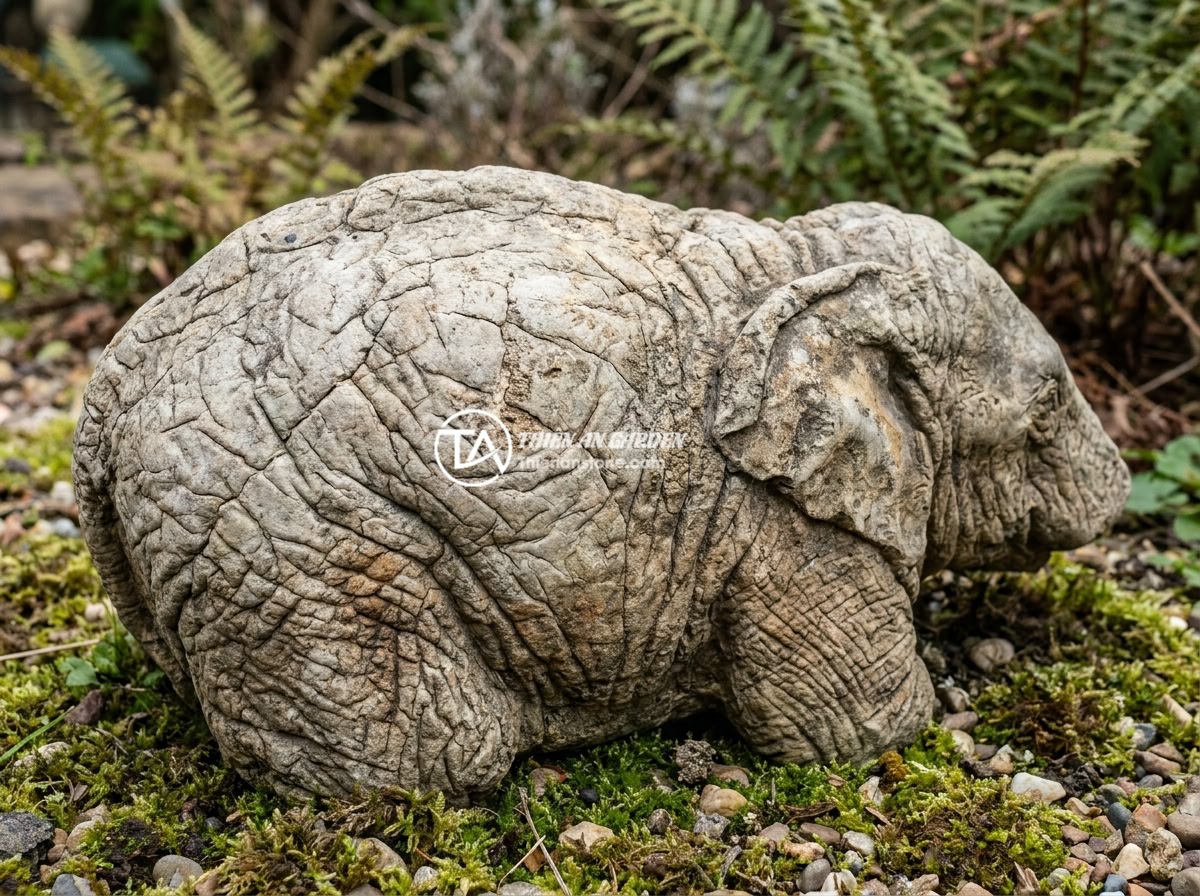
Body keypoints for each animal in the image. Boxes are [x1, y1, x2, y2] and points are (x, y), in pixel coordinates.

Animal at [72, 166, 1130, 801]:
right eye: (1044, 405)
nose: (1120, 494)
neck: (800, 262)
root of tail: (102, 412)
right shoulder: (778, 534)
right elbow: (858, 730)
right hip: (301, 555)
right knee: (439, 756)